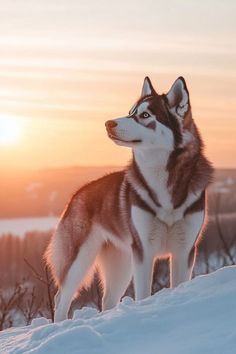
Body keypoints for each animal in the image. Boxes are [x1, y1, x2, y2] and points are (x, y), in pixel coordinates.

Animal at [45, 76, 214, 320]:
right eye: (130, 112)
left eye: (145, 115)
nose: (108, 123)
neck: (162, 180)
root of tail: (77, 193)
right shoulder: (144, 250)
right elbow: (143, 294)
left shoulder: (184, 250)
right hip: (81, 259)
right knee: (61, 298)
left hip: (122, 261)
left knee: (107, 299)